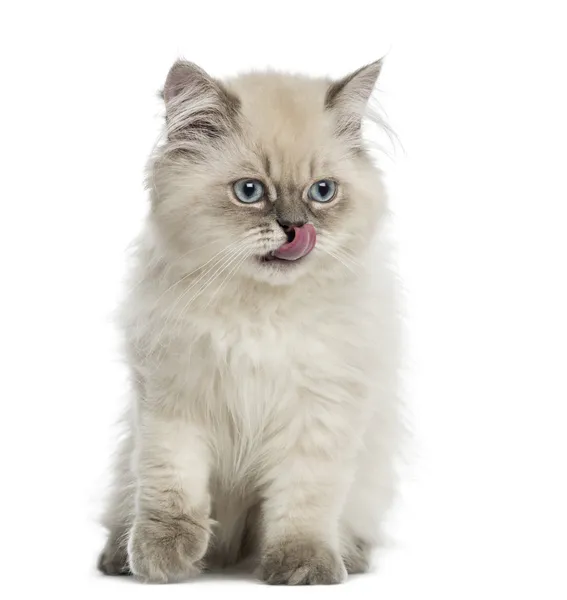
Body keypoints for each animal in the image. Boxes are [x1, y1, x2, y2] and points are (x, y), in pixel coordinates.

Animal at [97, 58, 402, 584]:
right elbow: (171, 488)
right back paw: (121, 557)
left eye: (322, 192)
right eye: (250, 192)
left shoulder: (320, 412)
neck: (260, 313)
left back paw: (351, 558)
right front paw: (162, 559)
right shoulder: (174, 401)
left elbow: (303, 504)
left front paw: (303, 568)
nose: (296, 228)